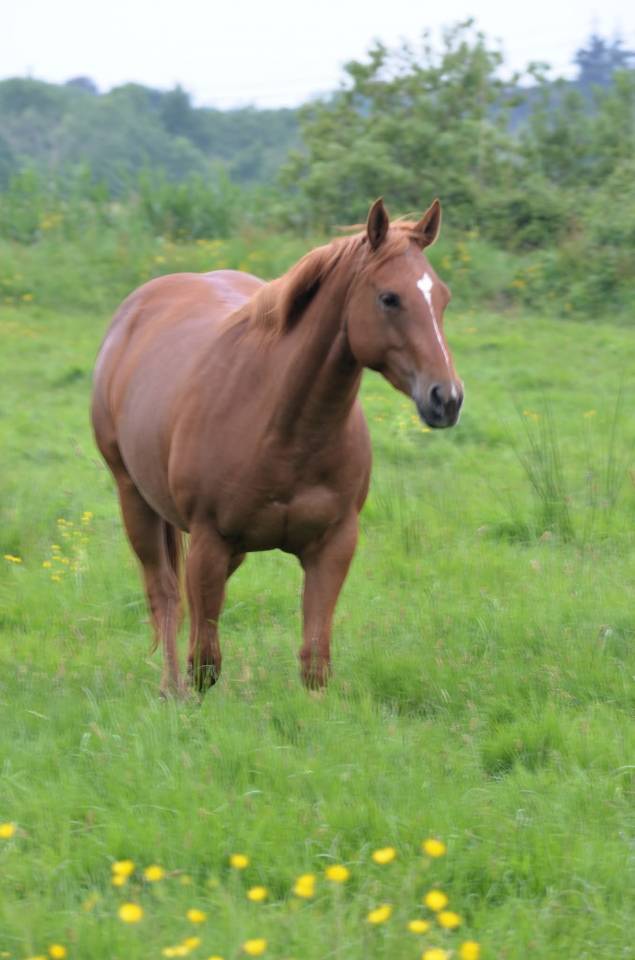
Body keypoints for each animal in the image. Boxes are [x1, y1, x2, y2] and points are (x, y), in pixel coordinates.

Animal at [91, 198, 463, 695]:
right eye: (389, 298)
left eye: (442, 297)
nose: (447, 398)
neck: (284, 429)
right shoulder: (209, 541)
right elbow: (206, 662)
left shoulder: (333, 546)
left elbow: (314, 663)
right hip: (134, 498)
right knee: (164, 594)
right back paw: (170, 687)